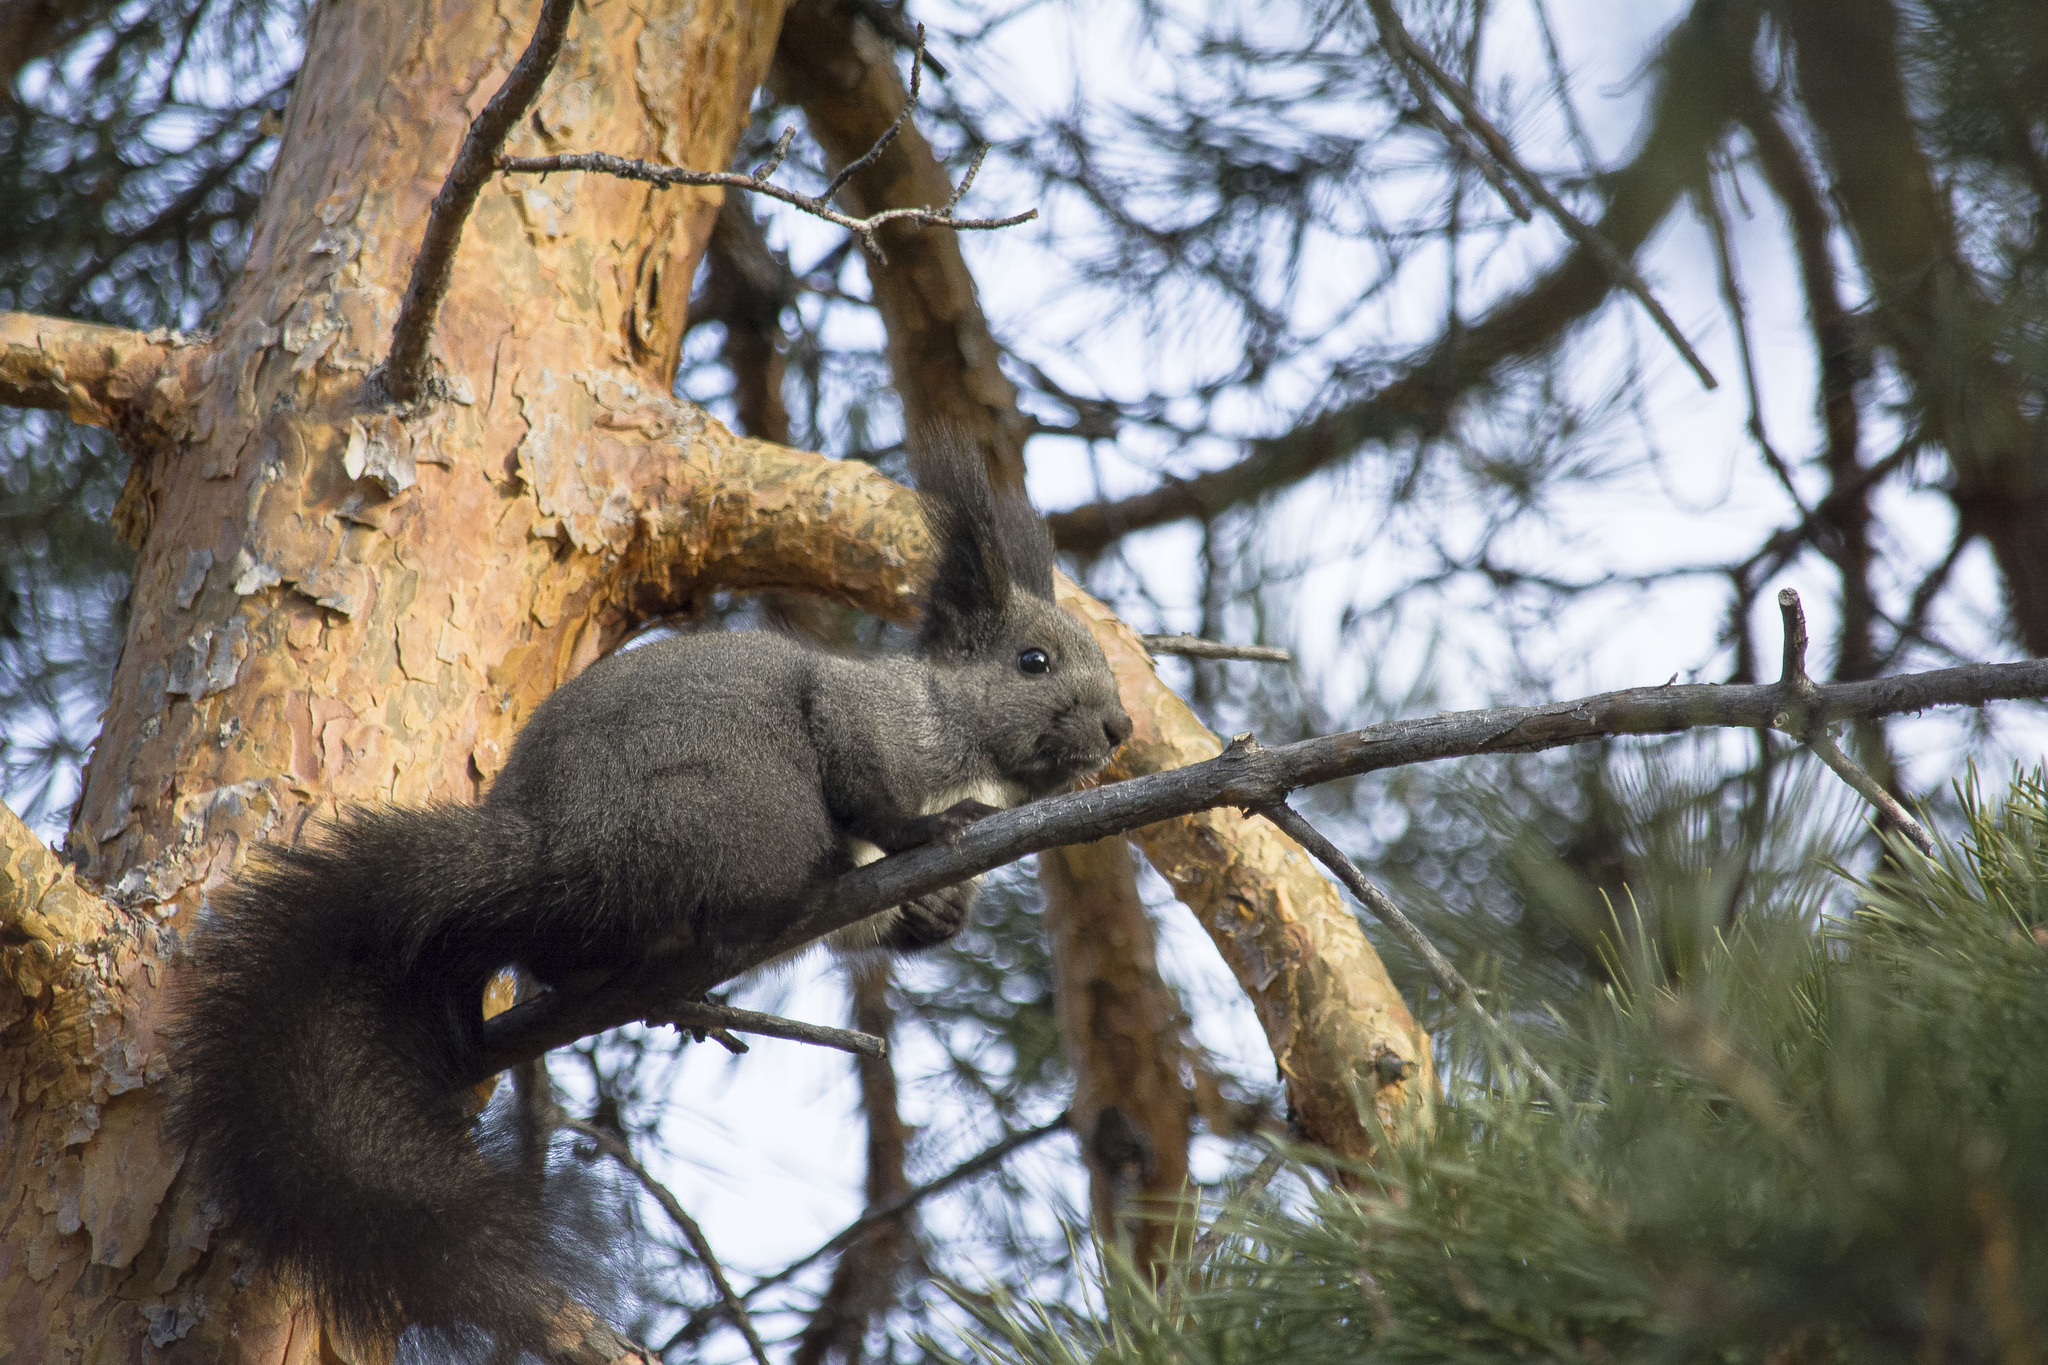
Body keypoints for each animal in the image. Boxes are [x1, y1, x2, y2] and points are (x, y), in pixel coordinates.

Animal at [169, 435, 1138, 1358]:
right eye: (1033, 661)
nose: (1122, 727)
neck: (957, 730)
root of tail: (548, 846)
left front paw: (937, 913)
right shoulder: (866, 720)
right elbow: (871, 794)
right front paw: (929, 832)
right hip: (743, 812)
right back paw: (738, 929)